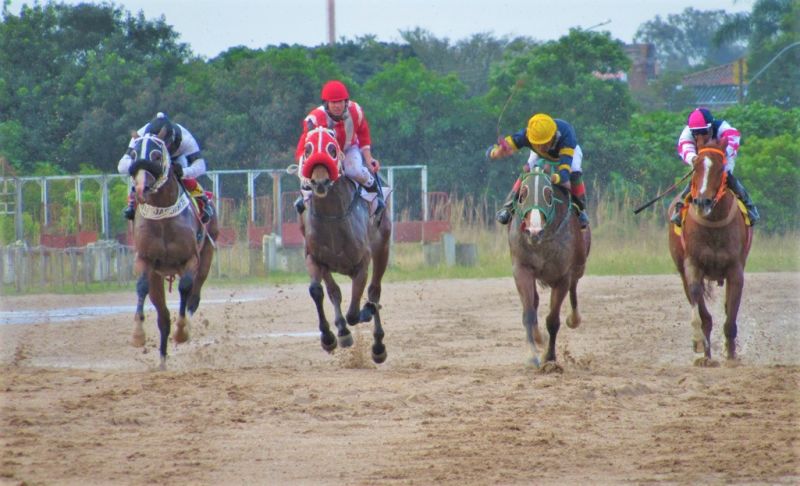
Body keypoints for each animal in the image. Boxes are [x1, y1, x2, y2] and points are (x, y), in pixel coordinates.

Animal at [126, 133, 217, 368]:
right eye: (133, 154)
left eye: (156, 156)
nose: (140, 189)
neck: (163, 220)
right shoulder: (145, 260)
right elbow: (141, 287)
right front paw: (137, 335)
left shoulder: (191, 259)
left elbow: (185, 288)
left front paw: (182, 331)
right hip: (159, 277)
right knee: (163, 316)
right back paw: (162, 361)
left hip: (206, 259)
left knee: (193, 297)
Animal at [296, 127, 390, 362]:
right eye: (308, 148)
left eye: (332, 149)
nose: (319, 182)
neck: (333, 217)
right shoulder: (315, 258)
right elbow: (320, 291)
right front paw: (331, 337)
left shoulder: (362, 263)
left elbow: (355, 313)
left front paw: (366, 312)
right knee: (334, 292)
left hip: (383, 248)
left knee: (374, 291)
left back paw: (378, 346)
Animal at [510, 164, 592, 372]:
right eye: (523, 193)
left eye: (548, 194)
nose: (534, 231)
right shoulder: (522, 268)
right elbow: (529, 314)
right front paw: (532, 356)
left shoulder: (563, 276)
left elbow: (553, 320)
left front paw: (550, 358)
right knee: (535, 302)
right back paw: (538, 337)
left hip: (579, 266)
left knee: (574, 289)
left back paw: (574, 319)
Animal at [668, 137, 752, 364]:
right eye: (696, 165)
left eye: (721, 167)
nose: (702, 201)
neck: (713, 224)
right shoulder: (692, 264)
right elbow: (699, 302)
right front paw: (700, 344)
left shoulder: (735, 269)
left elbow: (730, 316)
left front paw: (730, 355)